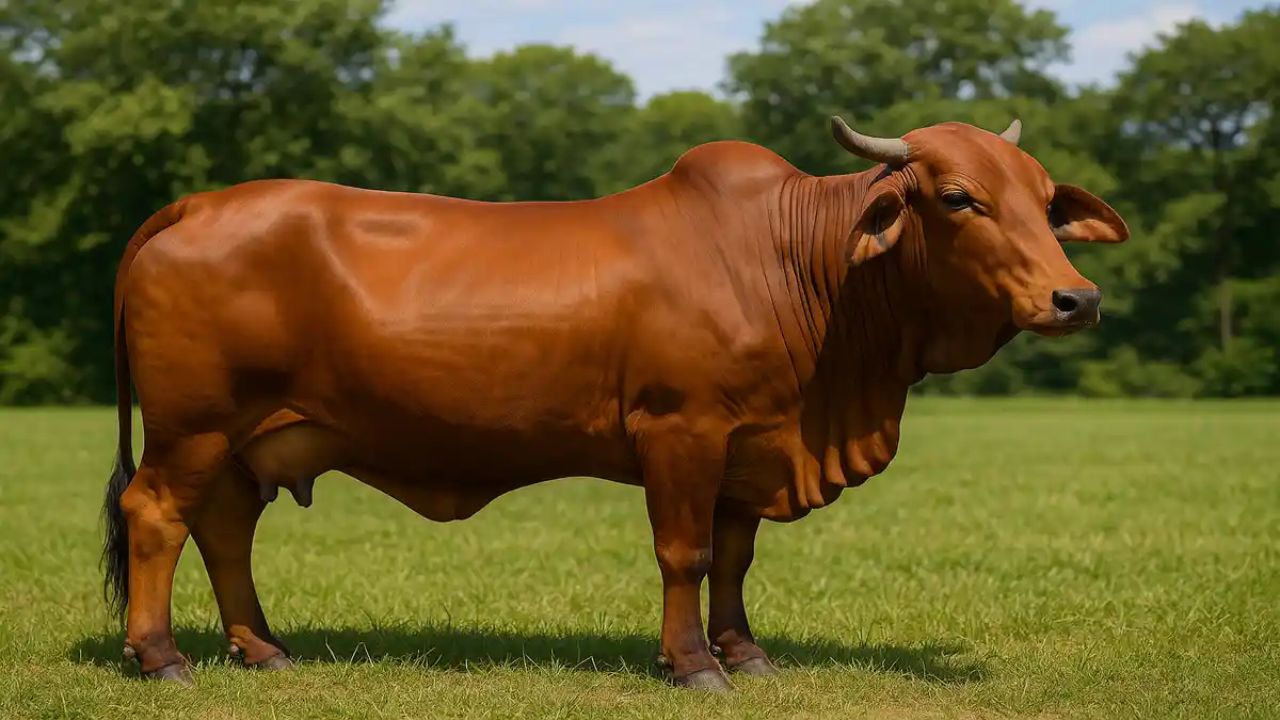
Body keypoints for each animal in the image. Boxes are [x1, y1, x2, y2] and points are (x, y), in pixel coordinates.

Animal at [101, 117, 1128, 691]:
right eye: (957, 197)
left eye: (1047, 201)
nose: (1075, 298)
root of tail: (197, 203)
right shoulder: (682, 431)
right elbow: (684, 555)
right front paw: (694, 665)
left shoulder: (751, 444)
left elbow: (732, 558)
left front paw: (745, 654)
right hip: (193, 429)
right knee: (154, 515)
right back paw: (161, 656)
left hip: (248, 440)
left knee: (224, 531)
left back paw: (262, 649)